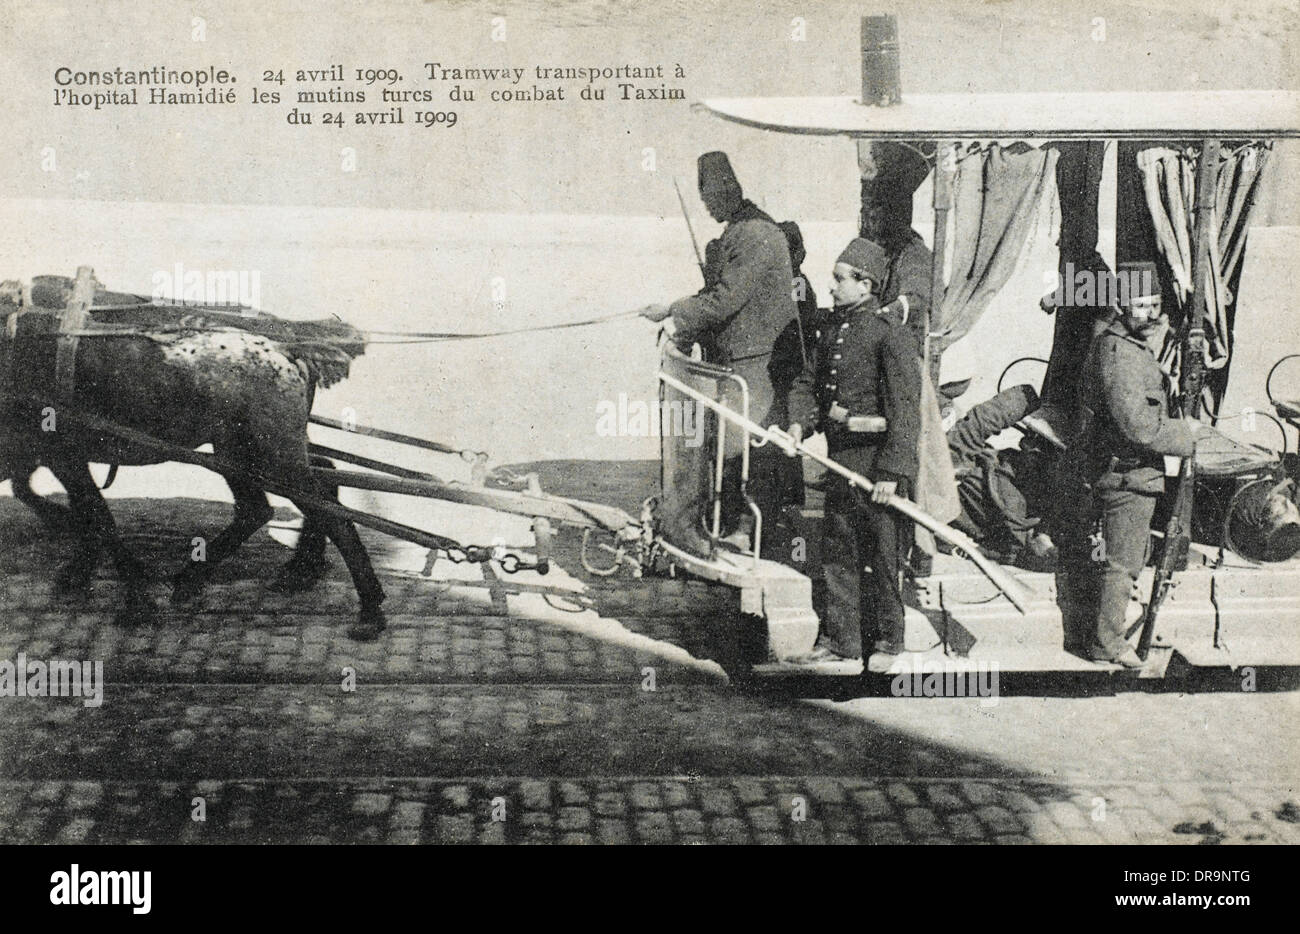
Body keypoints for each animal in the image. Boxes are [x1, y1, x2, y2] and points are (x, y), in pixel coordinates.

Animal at [0, 292, 384, 645]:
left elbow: (97, 517)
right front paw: (80, 568)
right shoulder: (47, 454)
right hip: (241, 451)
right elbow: (59, 502)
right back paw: (277, 573)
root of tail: (289, 350)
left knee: (327, 513)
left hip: (269, 455)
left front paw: (136, 601)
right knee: (280, 498)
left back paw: (369, 610)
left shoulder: (61, 453)